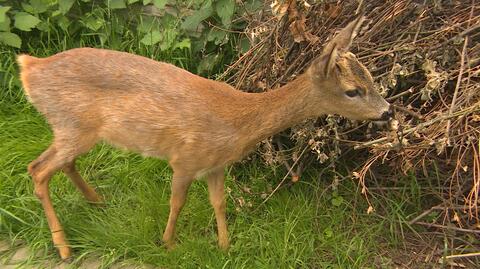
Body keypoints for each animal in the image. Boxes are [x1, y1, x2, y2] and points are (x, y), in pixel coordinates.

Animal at [17, 15, 390, 258]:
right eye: (353, 91)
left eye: (371, 78)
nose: (387, 111)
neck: (239, 121)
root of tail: (29, 68)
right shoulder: (185, 158)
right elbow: (177, 202)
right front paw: (169, 244)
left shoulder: (216, 165)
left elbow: (218, 202)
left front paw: (225, 245)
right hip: (71, 125)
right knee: (38, 170)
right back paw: (63, 247)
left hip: (76, 131)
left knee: (59, 165)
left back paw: (96, 202)